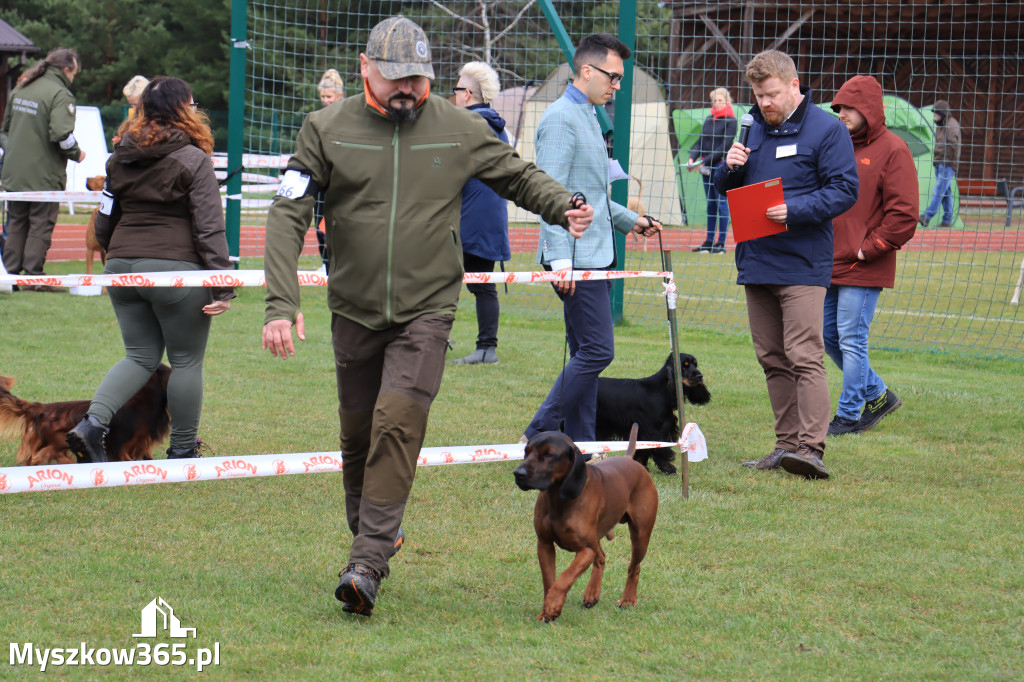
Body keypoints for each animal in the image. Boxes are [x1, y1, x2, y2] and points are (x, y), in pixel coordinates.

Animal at [0, 364, 169, 464]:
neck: (140, 404)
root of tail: (41, 408)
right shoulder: (120, 446)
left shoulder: (142, 444)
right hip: (57, 442)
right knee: (45, 455)